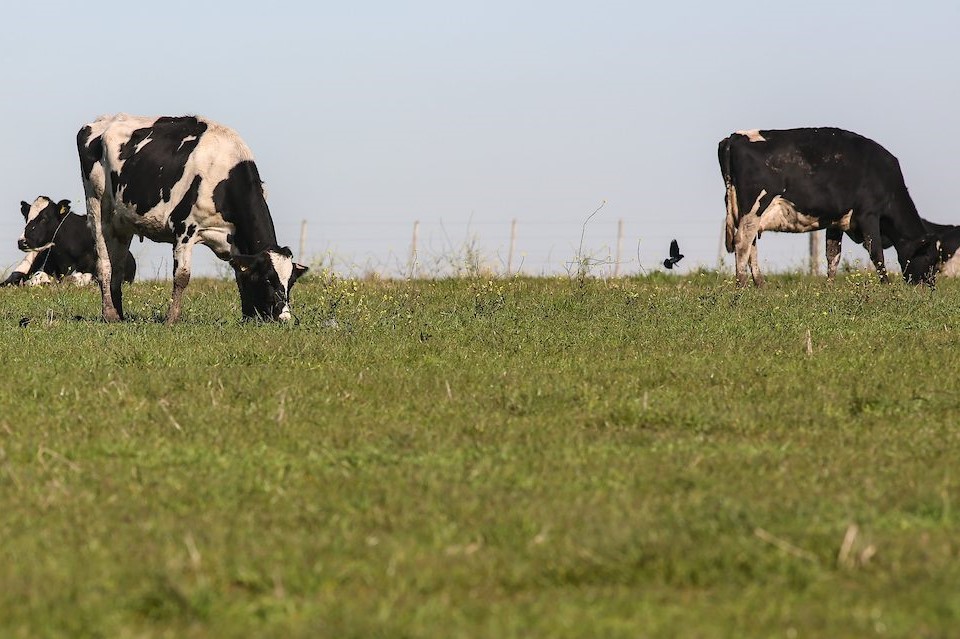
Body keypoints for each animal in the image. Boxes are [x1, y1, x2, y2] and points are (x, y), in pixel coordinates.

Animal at [75, 114, 308, 324]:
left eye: (291, 282)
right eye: (268, 279)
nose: (284, 318)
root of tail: (99, 121)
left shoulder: (237, 244)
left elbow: (242, 276)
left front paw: (248, 316)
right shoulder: (184, 227)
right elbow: (182, 276)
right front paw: (171, 319)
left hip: (123, 222)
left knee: (118, 266)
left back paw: (119, 315)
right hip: (98, 208)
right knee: (104, 264)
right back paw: (109, 314)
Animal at [720, 127, 936, 288]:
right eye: (929, 257)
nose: (930, 287)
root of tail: (735, 137)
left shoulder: (836, 220)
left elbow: (833, 255)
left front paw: (830, 287)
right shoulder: (869, 214)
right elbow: (876, 253)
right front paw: (886, 285)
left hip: (747, 213)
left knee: (750, 245)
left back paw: (760, 284)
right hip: (755, 206)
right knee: (742, 242)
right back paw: (741, 285)